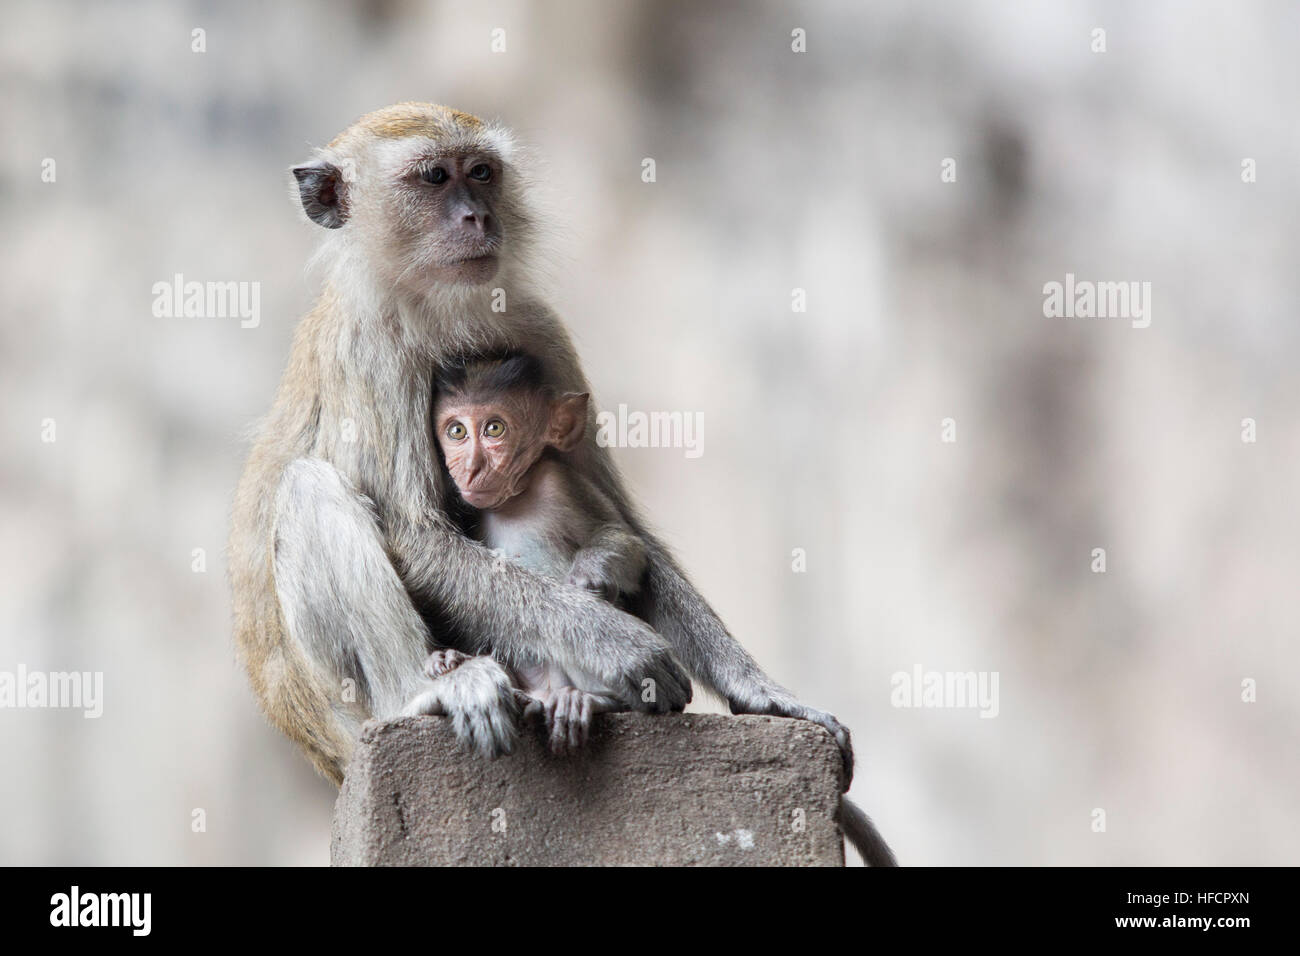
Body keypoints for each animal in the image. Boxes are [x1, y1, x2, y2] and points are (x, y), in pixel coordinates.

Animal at [426, 353, 650, 754]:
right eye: (457, 432)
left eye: (494, 428)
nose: (470, 468)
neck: (514, 498)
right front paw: (451, 656)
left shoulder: (559, 481)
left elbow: (627, 541)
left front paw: (590, 574)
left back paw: (593, 699)